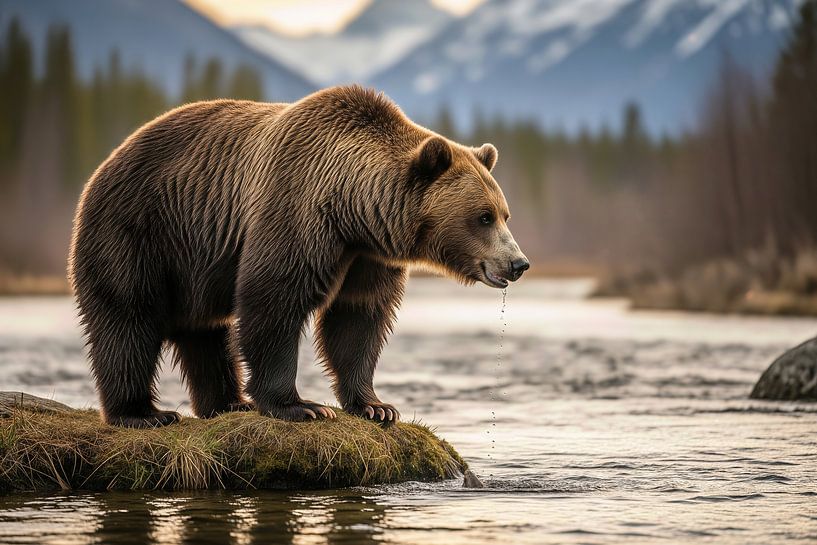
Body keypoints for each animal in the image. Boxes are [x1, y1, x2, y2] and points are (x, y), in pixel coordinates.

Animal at [68, 85, 529, 428]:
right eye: (483, 216)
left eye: (505, 213)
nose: (518, 263)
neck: (353, 209)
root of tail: (103, 166)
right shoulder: (297, 209)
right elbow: (274, 300)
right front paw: (301, 406)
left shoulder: (367, 256)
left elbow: (358, 319)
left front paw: (376, 405)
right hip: (137, 232)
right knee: (127, 317)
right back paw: (144, 413)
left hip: (194, 260)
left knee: (205, 331)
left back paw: (228, 403)